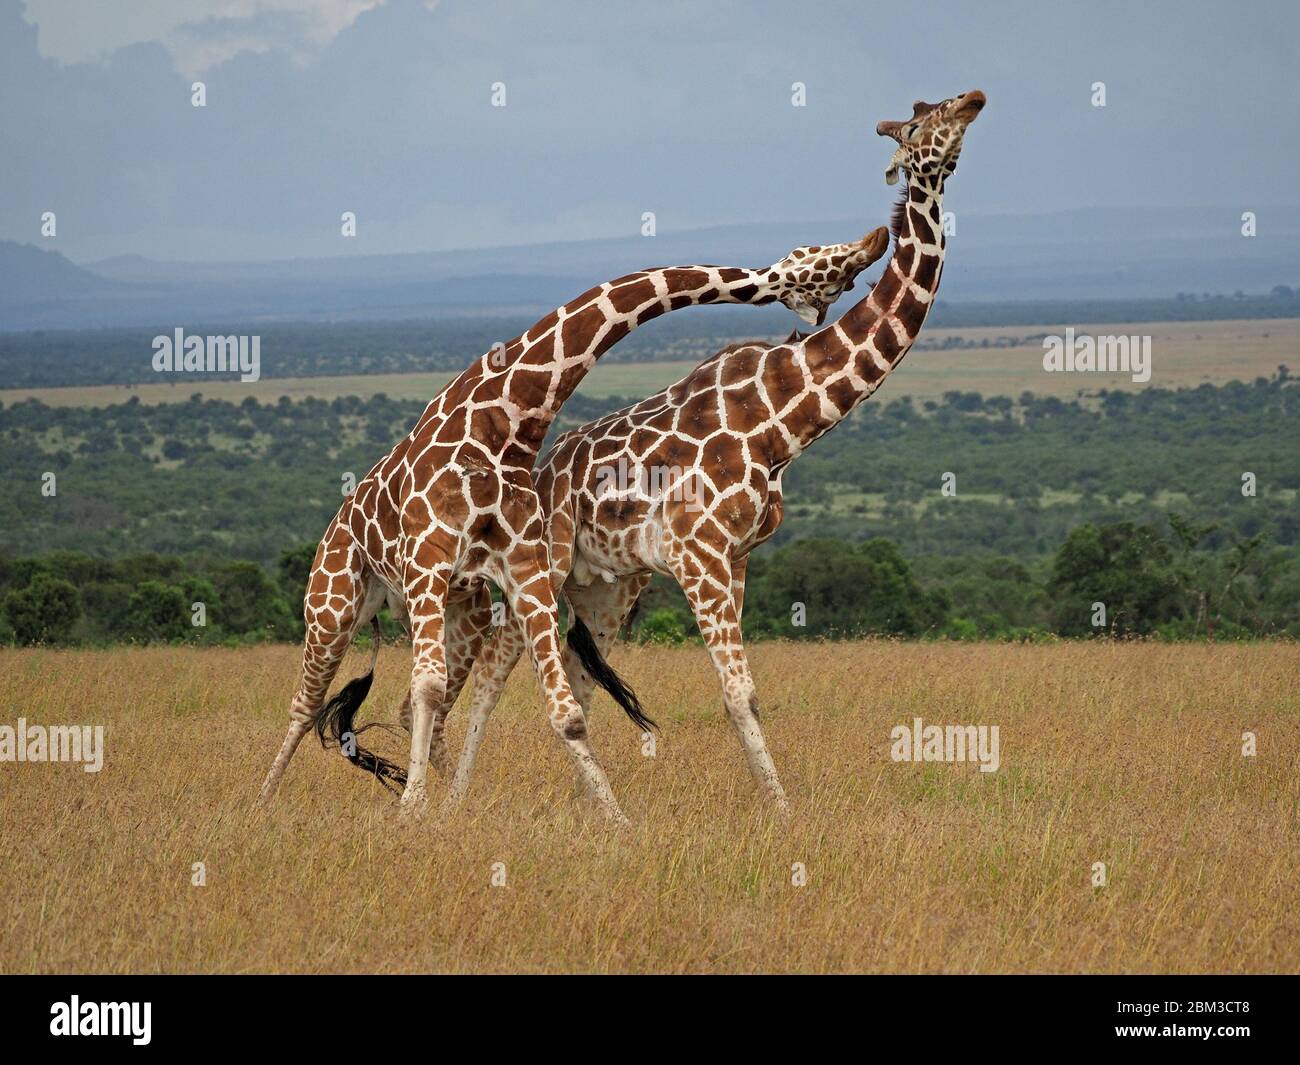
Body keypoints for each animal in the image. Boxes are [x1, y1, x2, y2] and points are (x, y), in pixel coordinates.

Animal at [256, 232, 883, 821]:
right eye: (823, 270)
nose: (872, 245)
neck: (504, 420)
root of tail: (334, 531)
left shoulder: (521, 565)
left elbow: (562, 709)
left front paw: (611, 820)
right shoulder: (427, 558)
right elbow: (428, 685)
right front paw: (413, 810)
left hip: (464, 608)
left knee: (424, 702)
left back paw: (453, 797)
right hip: (334, 605)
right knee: (306, 704)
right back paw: (262, 802)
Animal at [447, 89, 982, 816]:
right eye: (926, 120)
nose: (976, 99)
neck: (781, 420)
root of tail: (543, 467)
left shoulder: (737, 557)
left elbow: (744, 693)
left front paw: (776, 805)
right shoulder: (699, 555)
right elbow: (738, 695)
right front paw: (782, 812)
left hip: (609, 583)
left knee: (579, 679)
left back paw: (589, 808)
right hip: (547, 563)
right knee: (495, 670)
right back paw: (452, 802)